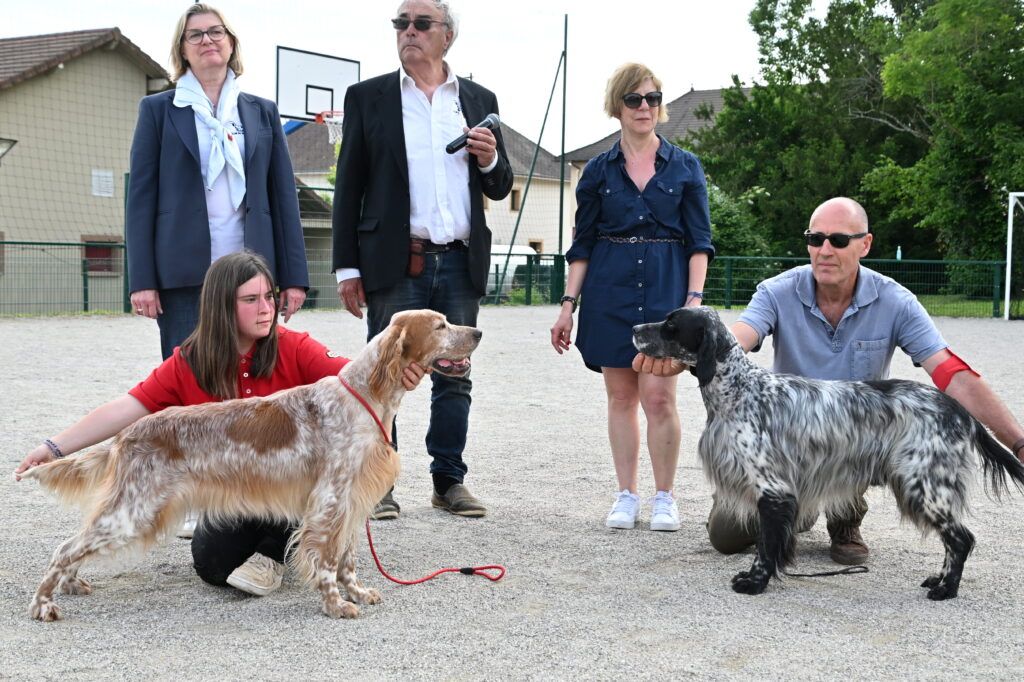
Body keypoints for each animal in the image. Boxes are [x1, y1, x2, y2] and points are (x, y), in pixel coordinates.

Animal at [22, 311, 481, 618]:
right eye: (440, 326)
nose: (477, 331)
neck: (365, 397)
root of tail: (126, 434)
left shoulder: (350, 503)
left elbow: (347, 560)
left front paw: (357, 593)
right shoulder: (330, 502)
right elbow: (327, 563)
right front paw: (335, 604)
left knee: (73, 546)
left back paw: (71, 585)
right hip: (133, 512)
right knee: (65, 548)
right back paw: (44, 603)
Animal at [630, 305, 1024, 598]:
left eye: (671, 325)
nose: (634, 327)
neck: (738, 390)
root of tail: (960, 410)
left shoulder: (773, 490)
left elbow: (766, 546)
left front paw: (755, 582)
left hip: (924, 484)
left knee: (960, 538)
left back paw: (946, 589)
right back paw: (939, 580)